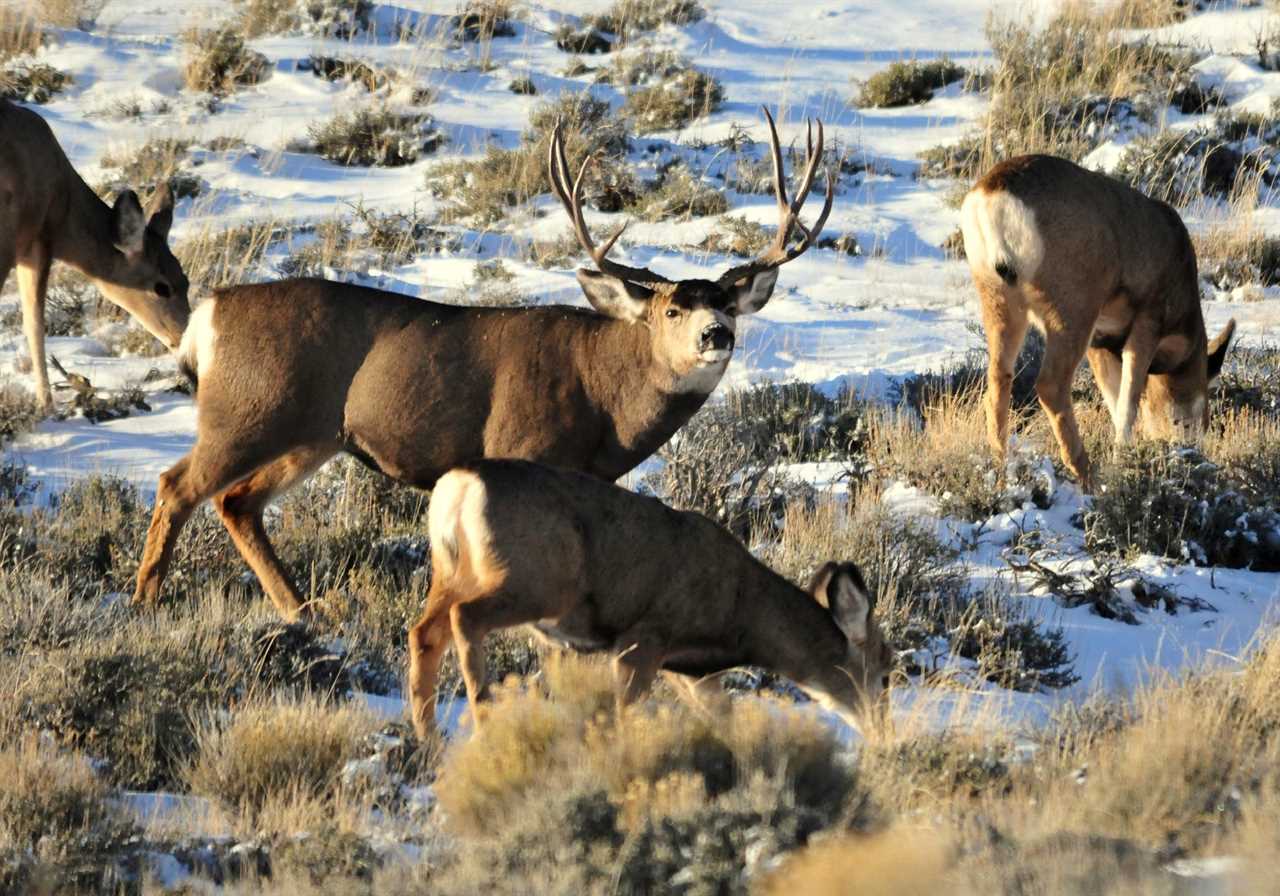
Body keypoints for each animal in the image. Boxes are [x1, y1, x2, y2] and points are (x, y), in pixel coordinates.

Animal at [0, 98, 189, 412]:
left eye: (186, 281)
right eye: (162, 288)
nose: (184, 337)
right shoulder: (37, 239)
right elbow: (35, 324)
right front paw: (46, 405)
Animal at [135, 108, 834, 619]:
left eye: (729, 304)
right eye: (669, 309)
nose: (716, 333)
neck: (605, 401)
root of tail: (207, 317)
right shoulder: (516, 445)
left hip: (312, 433)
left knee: (237, 503)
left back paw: (302, 609)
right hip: (247, 410)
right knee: (178, 486)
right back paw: (146, 602)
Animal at [407, 458, 890, 737]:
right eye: (884, 672)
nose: (884, 731)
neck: (740, 613)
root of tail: (459, 486)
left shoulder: (688, 670)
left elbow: (723, 718)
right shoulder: (644, 637)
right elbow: (625, 712)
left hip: (452, 571)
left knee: (423, 632)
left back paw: (429, 738)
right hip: (536, 581)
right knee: (465, 617)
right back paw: (483, 715)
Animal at [962, 154, 1233, 488]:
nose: (1193, 447)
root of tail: (992, 196)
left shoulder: (1100, 341)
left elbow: (1115, 401)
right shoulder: (1147, 321)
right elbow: (1128, 403)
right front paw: (1122, 462)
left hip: (998, 299)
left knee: (998, 379)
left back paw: (1003, 466)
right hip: (1073, 306)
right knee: (1051, 385)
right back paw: (1086, 474)